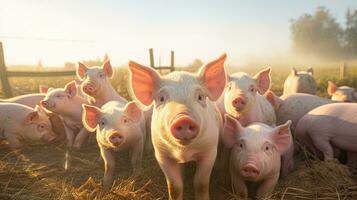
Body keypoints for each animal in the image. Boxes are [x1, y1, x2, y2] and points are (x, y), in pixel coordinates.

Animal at [128, 54, 225, 200]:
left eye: (200, 97)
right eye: (161, 98)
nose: (184, 118)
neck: (184, 151)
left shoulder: (209, 151)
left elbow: (200, 183)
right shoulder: (162, 154)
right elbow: (174, 186)